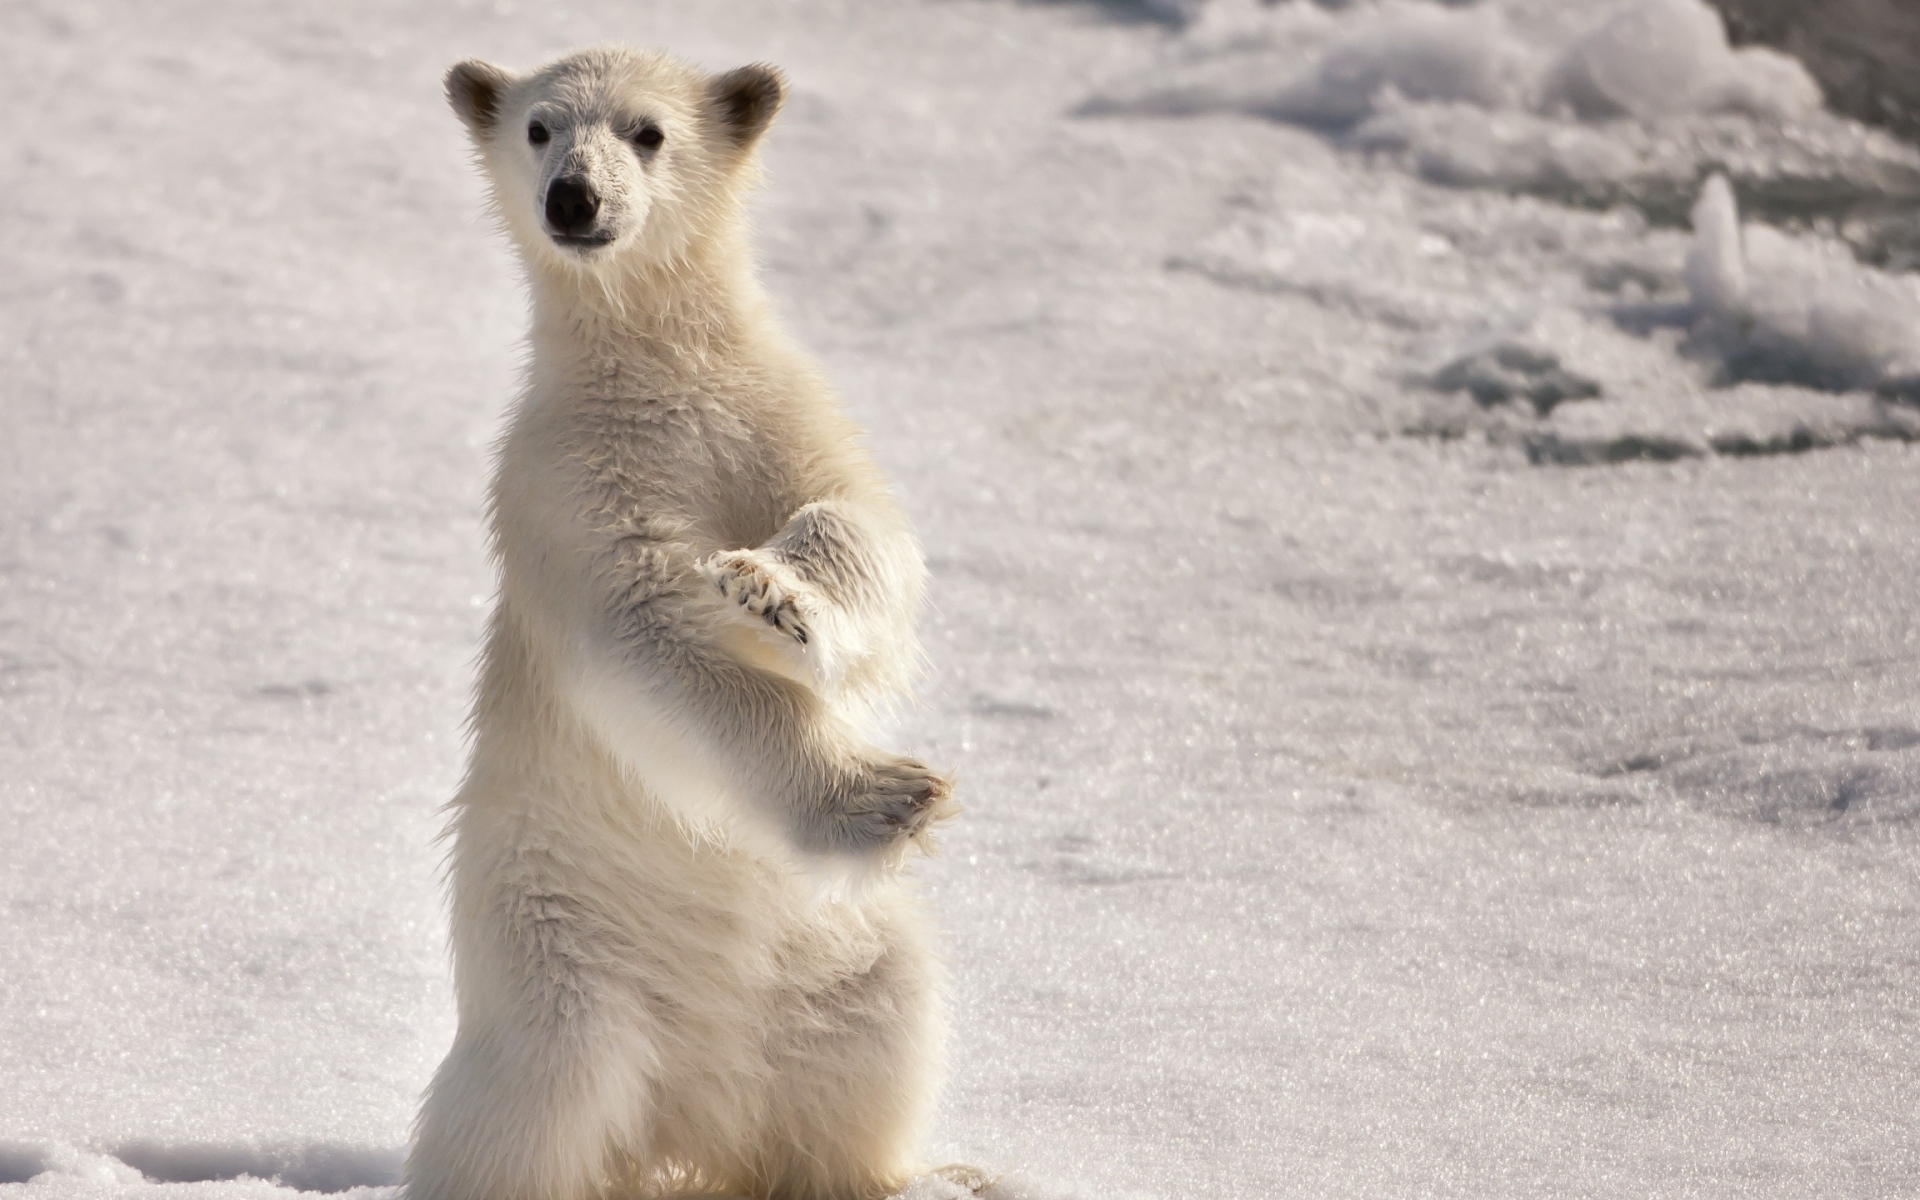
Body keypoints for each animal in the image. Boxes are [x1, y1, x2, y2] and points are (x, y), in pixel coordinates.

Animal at [405, 46, 964, 1200]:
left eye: (649, 131)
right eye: (538, 127)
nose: (575, 198)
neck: (658, 369)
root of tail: (687, 1120)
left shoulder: (775, 412)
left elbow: (862, 525)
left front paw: (774, 594)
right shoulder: (568, 482)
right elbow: (647, 634)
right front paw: (885, 796)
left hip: (835, 954)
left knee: (879, 1030)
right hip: (557, 954)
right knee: (532, 1106)